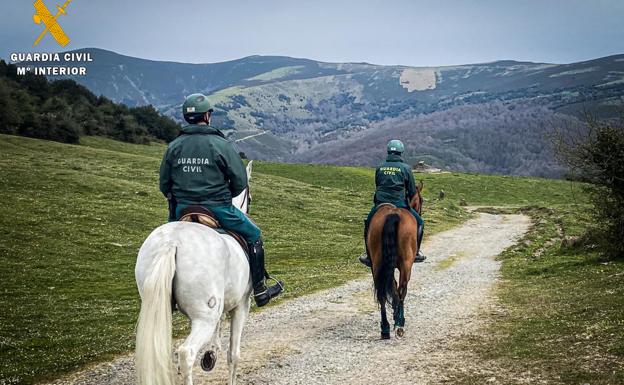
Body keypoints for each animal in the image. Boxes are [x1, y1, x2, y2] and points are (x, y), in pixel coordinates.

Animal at [135, 160, 255, 384]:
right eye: (249, 198)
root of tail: (172, 242)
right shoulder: (242, 304)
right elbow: (233, 355)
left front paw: (211, 353)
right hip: (204, 316)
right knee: (186, 353)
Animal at [368, 182, 422, 338]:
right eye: (421, 200)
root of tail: (393, 213)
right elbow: (397, 289)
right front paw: (397, 315)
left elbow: (391, 287)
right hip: (406, 264)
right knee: (402, 288)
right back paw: (399, 323)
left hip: (377, 263)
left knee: (382, 293)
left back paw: (385, 328)